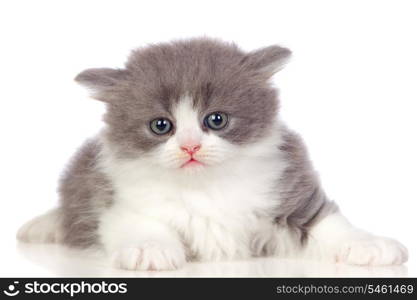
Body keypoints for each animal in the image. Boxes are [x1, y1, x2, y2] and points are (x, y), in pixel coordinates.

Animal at [17, 38, 406, 270]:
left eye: (215, 120)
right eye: (161, 125)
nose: (190, 146)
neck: (206, 185)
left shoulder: (290, 191)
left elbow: (327, 222)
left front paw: (369, 244)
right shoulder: (118, 202)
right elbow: (140, 224)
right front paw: (150, 249)